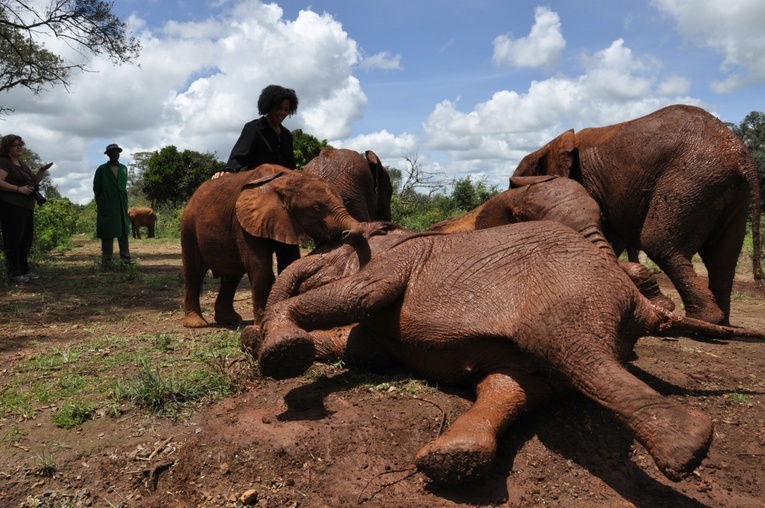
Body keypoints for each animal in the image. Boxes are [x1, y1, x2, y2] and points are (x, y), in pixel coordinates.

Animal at [252, 223, 764, 488]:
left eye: (325, 250)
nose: (253, 329)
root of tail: (641, 306)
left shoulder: (403, 260)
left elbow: (357, 295)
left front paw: (275, 350)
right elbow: (361, 351)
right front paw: (259, 341)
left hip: (566, 291)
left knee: (572, 352)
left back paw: (689, 446)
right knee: (516, 385)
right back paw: (455, 460)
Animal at [510, 103, 760, 326]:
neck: (552, 145)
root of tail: (742, 155)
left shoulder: (585, 184)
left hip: (691, 182)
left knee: (660, 244)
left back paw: (704, 319)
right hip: (730, 193)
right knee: (722, 258)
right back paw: (721, 322)